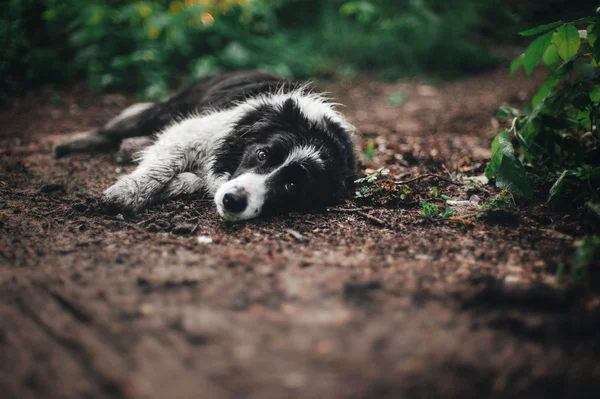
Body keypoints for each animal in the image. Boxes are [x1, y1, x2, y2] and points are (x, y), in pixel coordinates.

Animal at [54, 72, 356, 222]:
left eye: (293, 186)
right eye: (262, 154)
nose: (233, 201)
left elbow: (192, 180)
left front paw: (175, 186)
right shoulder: (194, 133)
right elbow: (162, 167)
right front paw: (126, 194)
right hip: (169, 108)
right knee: (115, 128)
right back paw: (68, 143)